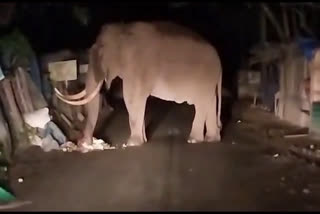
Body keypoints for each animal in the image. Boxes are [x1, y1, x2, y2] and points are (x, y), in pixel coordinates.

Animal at [55, 21, 222, 147]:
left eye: (100, 54)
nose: (83, 143)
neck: (123, 30)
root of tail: (220, 64)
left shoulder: (136, 67)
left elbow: (131, 99)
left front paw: (132, 143)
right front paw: (142, 140)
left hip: (204, 79)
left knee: (201, 104)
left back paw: (194, 140)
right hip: (209, 82)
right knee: (210, 102)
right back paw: (212, 139)